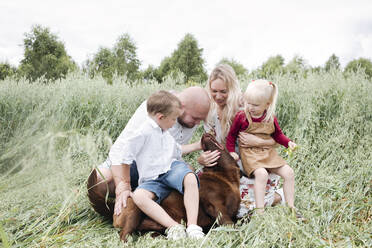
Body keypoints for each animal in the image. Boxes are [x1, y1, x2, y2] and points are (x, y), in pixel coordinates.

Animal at [86, 134, 241, 240]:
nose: (205, 134)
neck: (224, 176)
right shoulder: (213, 203)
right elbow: (227, 221)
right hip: (135, 208)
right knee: (124, 235)